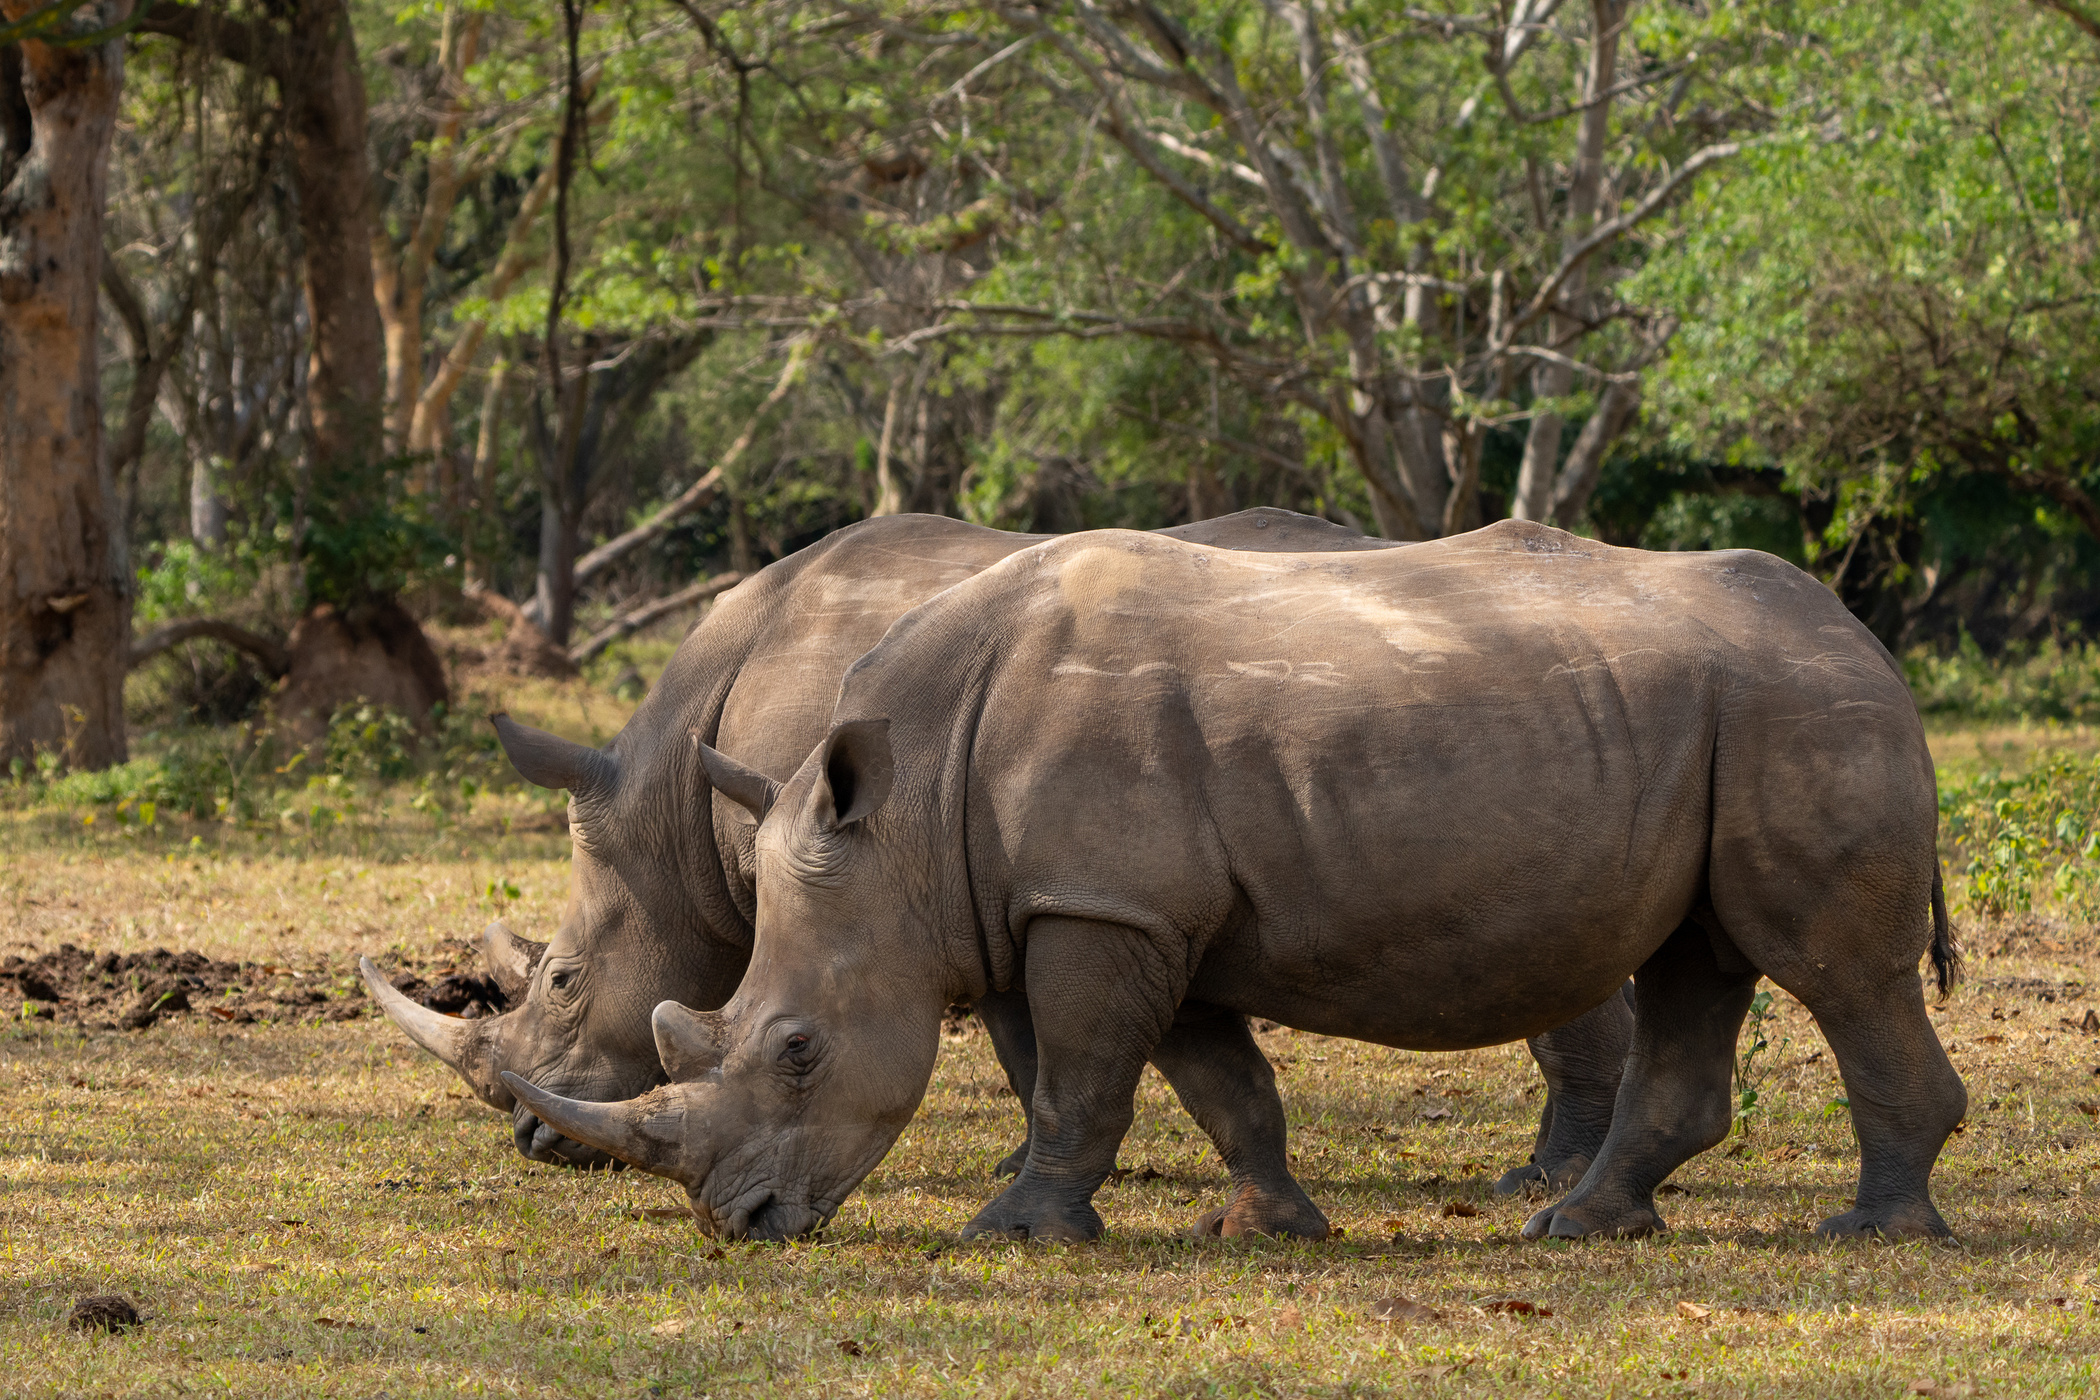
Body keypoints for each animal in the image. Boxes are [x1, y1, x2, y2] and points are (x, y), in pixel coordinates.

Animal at [366, 511, 1629, 1229]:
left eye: (564, 980)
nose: (535, 1141)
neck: (670, 800)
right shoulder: (971, 877)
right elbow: (1029, 1031)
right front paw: (1037, 1160)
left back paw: (1540, 1186)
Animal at [506, 521, 1966, 1245]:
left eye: (799, 1051)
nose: (740, 1222)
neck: (903, 817)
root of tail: (1867, 638)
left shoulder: (1101, 905)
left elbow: (1082, 1076)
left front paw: (1013, 1233)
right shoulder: (1122, 907)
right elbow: (1215, 1082)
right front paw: (1270, 1226)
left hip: (1798, 711)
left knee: (1832, 972)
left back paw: (1871, 1235)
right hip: (1723, 717)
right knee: (1699, 961)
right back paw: (1582, 1227)